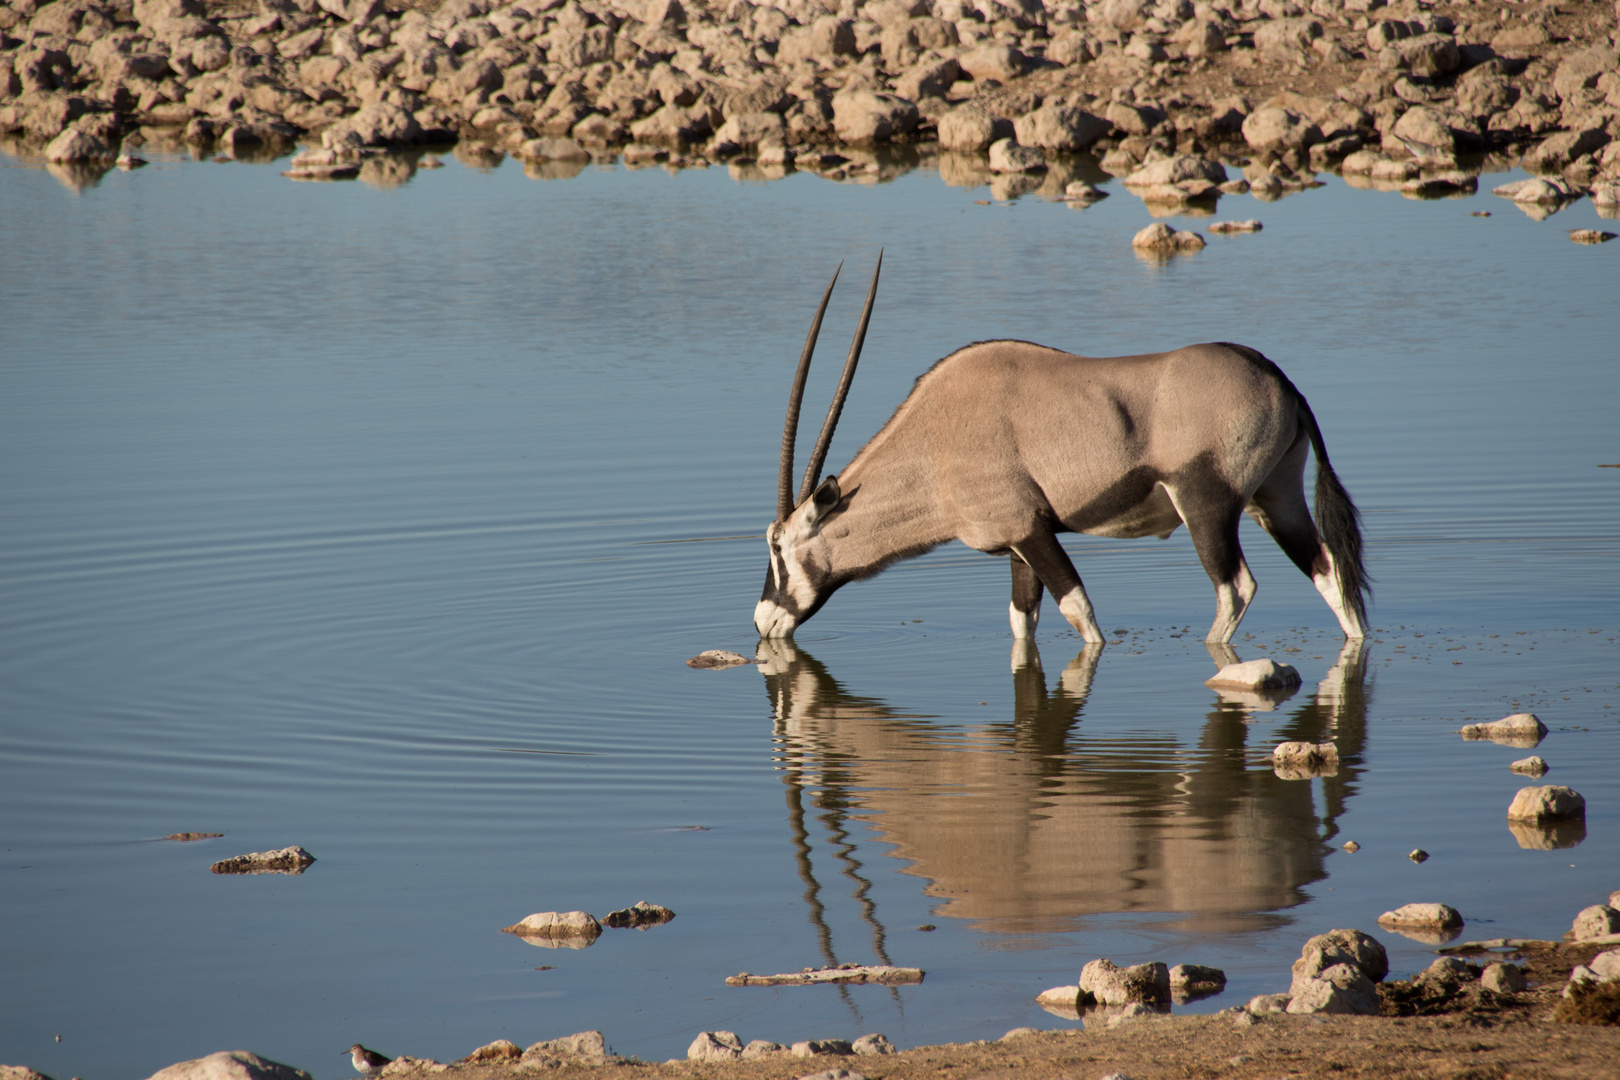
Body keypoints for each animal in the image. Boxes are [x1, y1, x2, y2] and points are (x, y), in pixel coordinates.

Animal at [754, 257, 1367, 647]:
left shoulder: (1030, 531)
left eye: (778, 549)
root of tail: (1278, 379)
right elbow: (1021, 621)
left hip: (1205, 506)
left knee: (1235, 588)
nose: (762, 622)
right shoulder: (1016, 545)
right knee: (1328, 571)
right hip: (1275, 498)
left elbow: (1081, 616)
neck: (936, 444)